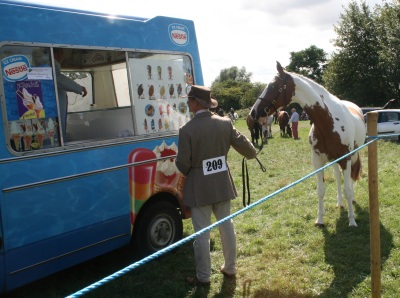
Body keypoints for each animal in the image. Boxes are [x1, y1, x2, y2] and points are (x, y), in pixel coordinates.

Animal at [250, 61, 366, 227]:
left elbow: (347, 190)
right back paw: (339, 202)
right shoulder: (318, 161)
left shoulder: (346, 158)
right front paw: (320, 220)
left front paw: (352, 221)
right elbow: (321, 190)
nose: (253, 113)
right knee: (338, 177)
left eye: (273, 87)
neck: (328, 121)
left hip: (353, 155)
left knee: (350, 179)